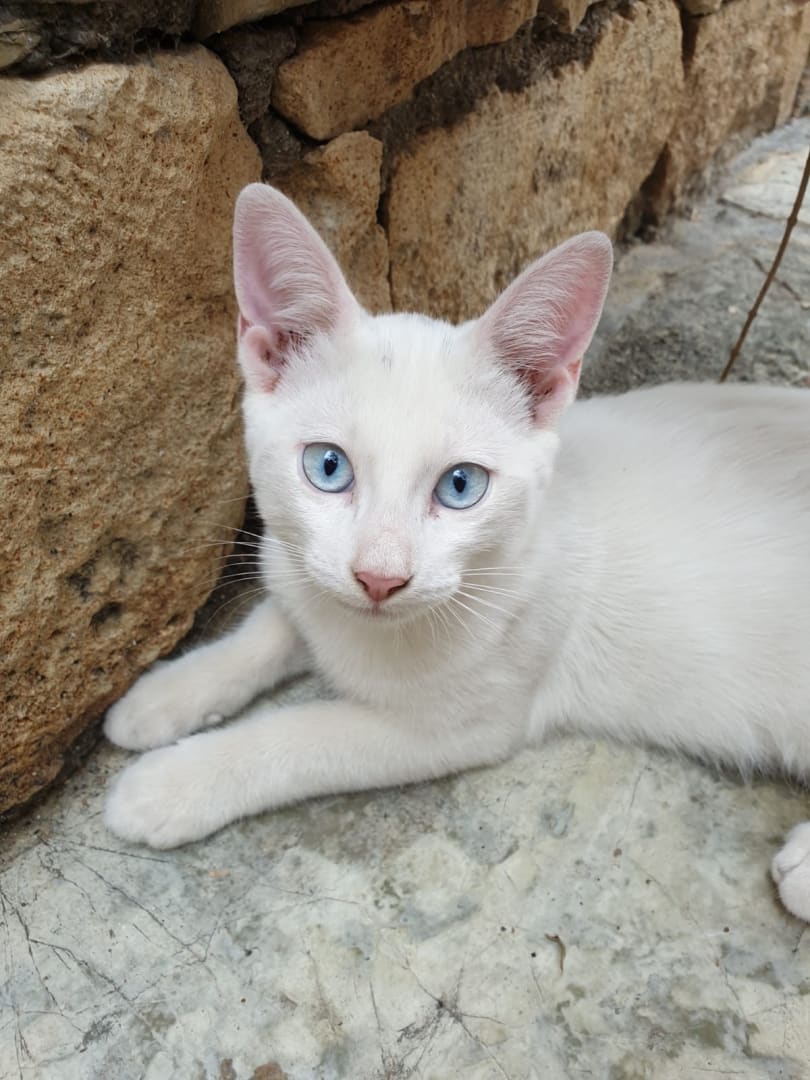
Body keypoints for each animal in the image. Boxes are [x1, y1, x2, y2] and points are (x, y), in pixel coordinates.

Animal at [104, 183, 810, 922]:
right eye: (328, 467)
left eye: (461, 486)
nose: (379, 578)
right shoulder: (305, 571)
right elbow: (272, 625)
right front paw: (163, 695)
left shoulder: (459, 726)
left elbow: (301, 734)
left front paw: (172, 782)